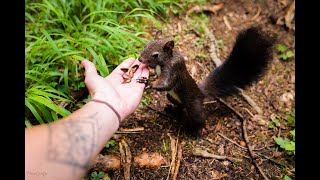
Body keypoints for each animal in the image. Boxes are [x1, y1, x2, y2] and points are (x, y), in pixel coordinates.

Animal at [137, 26, 276, 136]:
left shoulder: (173, 68)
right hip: (171, 97)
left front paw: (148, 82)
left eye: (156, 55)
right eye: (145, 45)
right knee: (180, 106)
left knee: (199, 117)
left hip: (194, 106)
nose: (140, 59)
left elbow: (166, 83)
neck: (165, 61)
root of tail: (201, 94)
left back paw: (196, 131)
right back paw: (172, 110)